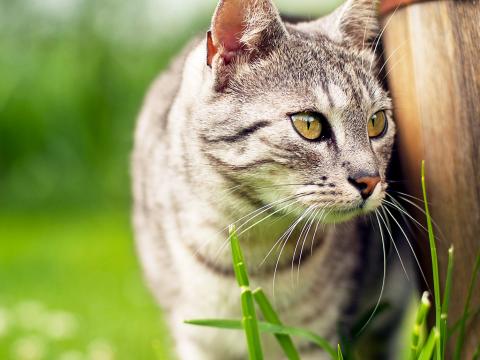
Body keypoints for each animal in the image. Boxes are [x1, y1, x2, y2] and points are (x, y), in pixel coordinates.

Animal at [132, 0, 402, 358]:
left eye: (377, 122)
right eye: (309, 124)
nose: (370, 180)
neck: (254, 246)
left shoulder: (317, 337)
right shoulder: (197, 339)